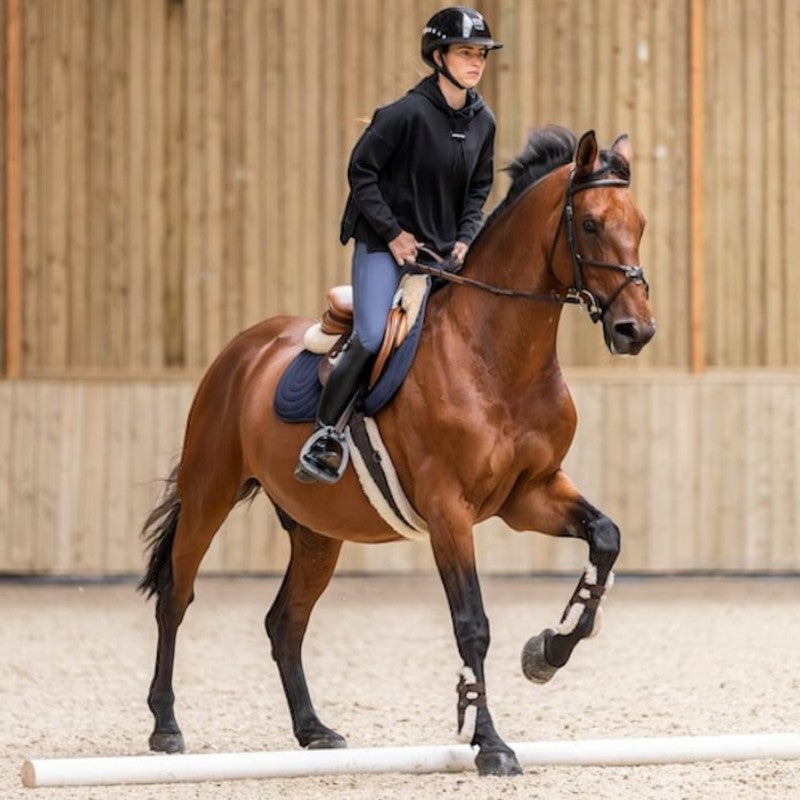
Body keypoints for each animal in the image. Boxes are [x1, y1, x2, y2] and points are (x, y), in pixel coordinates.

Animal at [138, 126, 655, 777]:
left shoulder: (529, 494)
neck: (496, 357)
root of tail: (243, 349)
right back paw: (166, 727)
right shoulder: (448, 511)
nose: (636, 331)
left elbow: (605, 539)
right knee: (176, 597)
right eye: (589, 224)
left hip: (317, 532)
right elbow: (472, 624)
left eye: (639, 224)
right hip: (210, 493)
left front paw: (547, 651)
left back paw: (313, 731)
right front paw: (491, 745)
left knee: (285, 622)